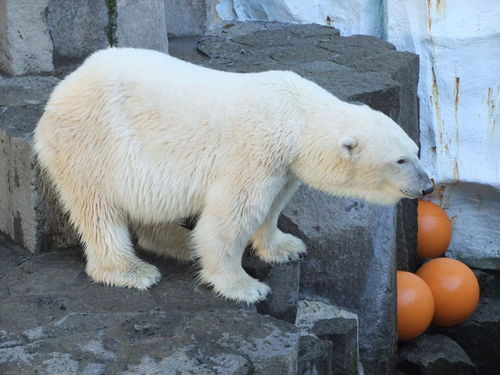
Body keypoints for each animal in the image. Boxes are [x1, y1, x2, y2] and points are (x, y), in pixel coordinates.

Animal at [34, 47, 434, 306]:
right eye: (400, 160)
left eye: (417, 150)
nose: (428, 185)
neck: (294, 114)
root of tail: (61, 90)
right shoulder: (254, 152)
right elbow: (231, 218)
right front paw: (246, 287)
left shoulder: (282, 166)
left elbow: (273, 206)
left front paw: (286, 247)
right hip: (95, 143)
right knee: (98, 208)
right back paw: (131, 270)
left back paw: (179, 241)